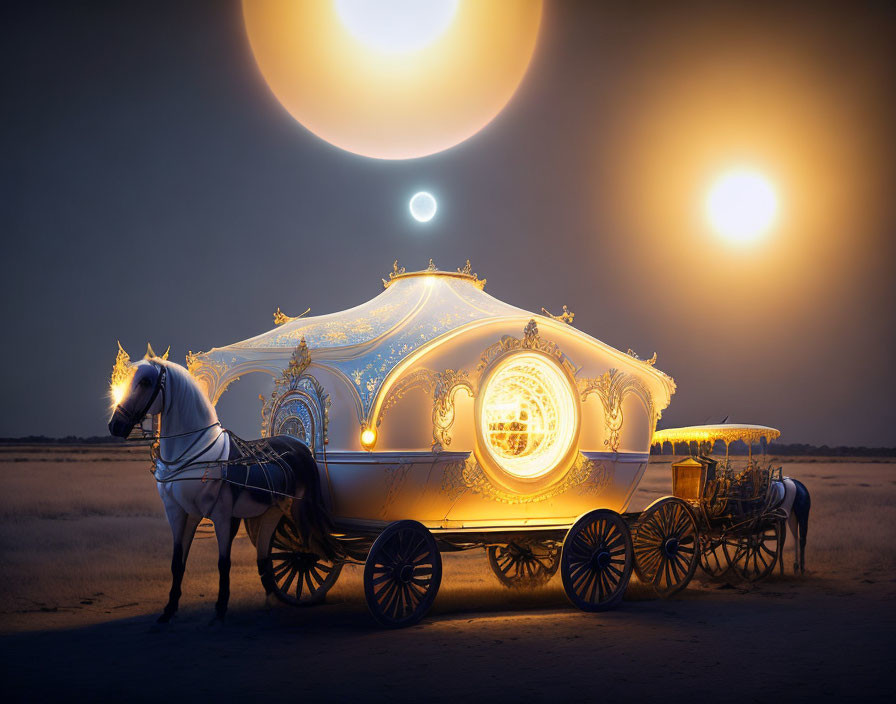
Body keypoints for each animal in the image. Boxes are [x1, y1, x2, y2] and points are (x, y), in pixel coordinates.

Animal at [109, 358, 332, 620]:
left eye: (145, 381)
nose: (115, 425)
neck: (193, 455)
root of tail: (298, 445)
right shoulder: (179, 512)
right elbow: (177, 562)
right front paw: (169, 609)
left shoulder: (223, 515)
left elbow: (223, 562)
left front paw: (220, 609)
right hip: (274, 509)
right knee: (265, 556)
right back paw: (270, 600)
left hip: (299, 508)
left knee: (311, 543)